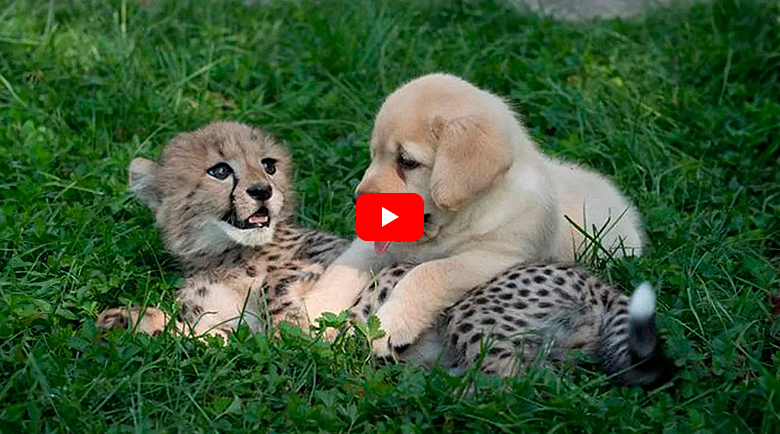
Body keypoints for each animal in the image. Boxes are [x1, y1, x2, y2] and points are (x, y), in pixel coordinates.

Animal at [302, 72, 644, 356]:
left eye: (407, 162)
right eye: (374, 155)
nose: (357, 200)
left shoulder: (493, 257)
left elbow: (429, 273)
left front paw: (391, 325)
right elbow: (344, 267)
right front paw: (312, 311)